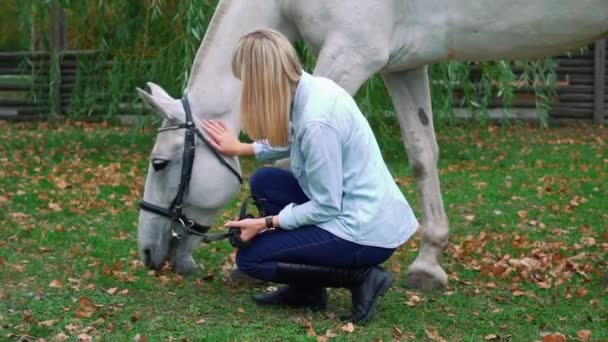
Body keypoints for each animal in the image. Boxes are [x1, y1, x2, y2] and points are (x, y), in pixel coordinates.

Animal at [137, 0, 608, 288]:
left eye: (160, 163)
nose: (147, 253)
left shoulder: (351, 54)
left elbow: (293, 165)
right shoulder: (404, 65)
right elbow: (422, 155)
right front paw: (428, 262)